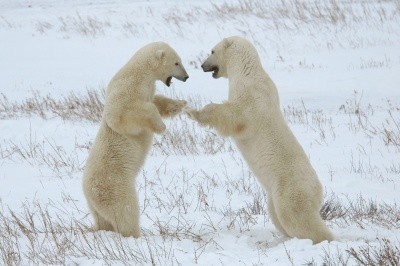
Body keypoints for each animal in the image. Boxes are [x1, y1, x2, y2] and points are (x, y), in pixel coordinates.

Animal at [83, 41, 189, 237]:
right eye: (177, 62)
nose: (186, 77)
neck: (139, 74)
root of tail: (88, 192)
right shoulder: (124, 93)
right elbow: (124, 116)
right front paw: (161, 127)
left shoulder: (146, 90)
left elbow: (156, 101)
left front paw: (179, 104)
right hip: (115, 186)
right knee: (126, 211)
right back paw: (136, 234)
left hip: (96, 206)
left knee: (104, 220)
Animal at [186, 36, 332, 244]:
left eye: (212, 51)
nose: (202, 65)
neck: (247, 72)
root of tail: (318, 190)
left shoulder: (251, 97)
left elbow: (233, 115)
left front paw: (192, 111)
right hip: (274, 193)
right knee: (277, 215)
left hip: (291, 189)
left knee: (296, 217)